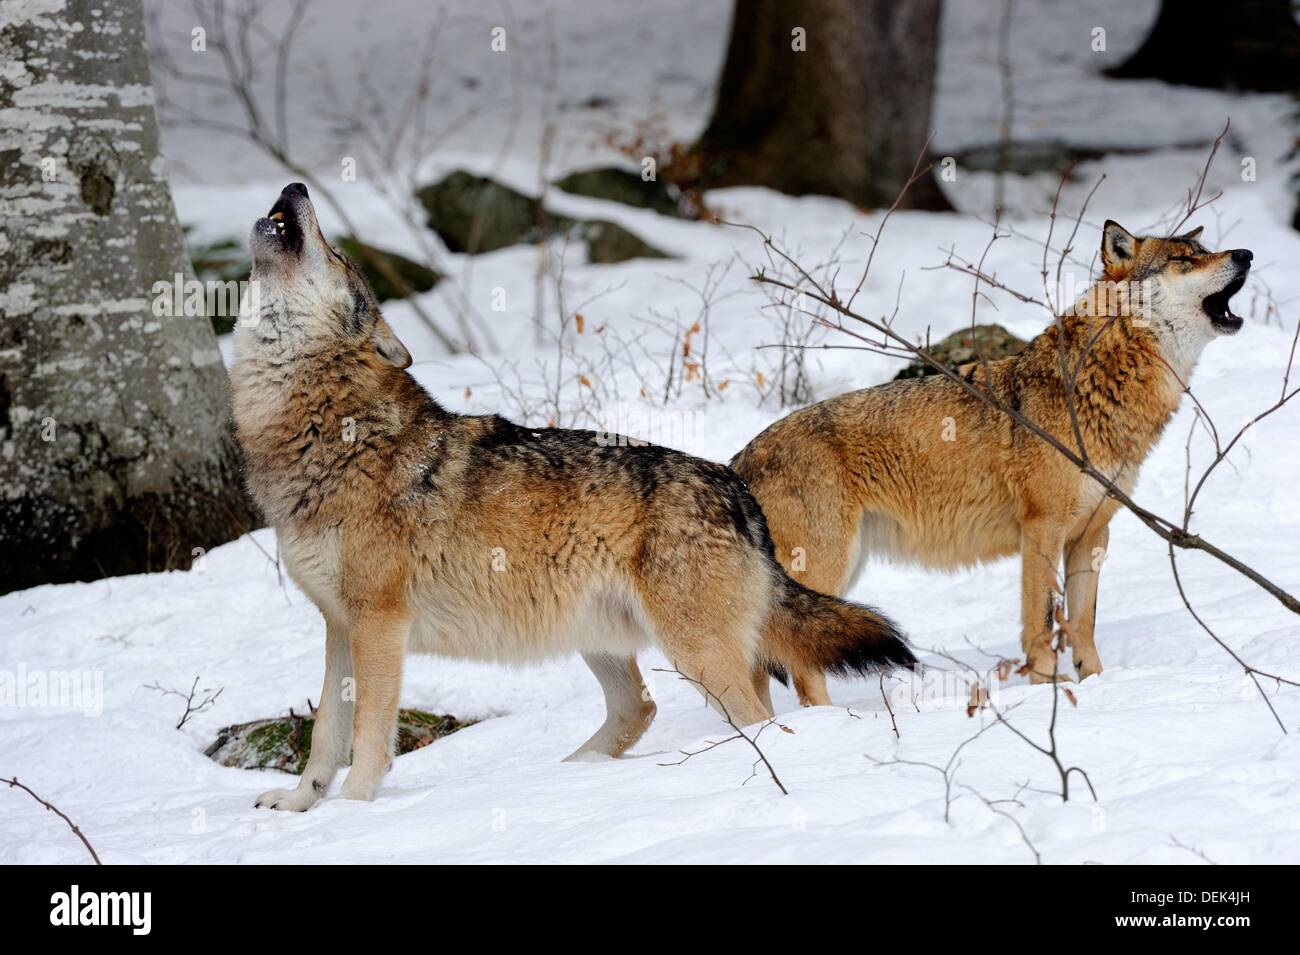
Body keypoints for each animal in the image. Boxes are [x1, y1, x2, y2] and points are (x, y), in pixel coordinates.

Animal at [228, 183, 909, 810]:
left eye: (337, 254)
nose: (296, 187)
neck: (321, 428)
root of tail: (735, 486)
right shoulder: (338, 625)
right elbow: (326, 733)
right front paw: (298, 804)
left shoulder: (378, 623)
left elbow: (368, 735)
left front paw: (351, 810)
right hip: (605, 639)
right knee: (641, 708)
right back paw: (569, 777)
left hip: (694, 654)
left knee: (753, 718)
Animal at [733, 222, 1248, 701]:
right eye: (1183, 259)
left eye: (1204, 250)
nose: (1245, 253)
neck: (1098, 384)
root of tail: (738, 461)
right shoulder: (1042, 527)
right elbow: (1042, 620)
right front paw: (1048, 688)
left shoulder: (1093, 534)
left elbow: (1082, 624)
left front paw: (1096, 684)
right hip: (824, 571)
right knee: (795, 662)